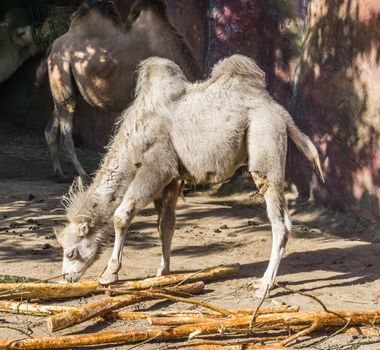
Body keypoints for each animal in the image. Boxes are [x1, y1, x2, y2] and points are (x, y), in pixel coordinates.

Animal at [39, 0, 203, 180]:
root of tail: (53, 46)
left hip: (65, 87)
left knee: (51, 127)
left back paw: (59, 173)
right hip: (61, 72)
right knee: (66, 134)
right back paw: (84, 175)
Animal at [56, 54, 324, 298]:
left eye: (71, 252)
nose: (67, 276)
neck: (134, 140)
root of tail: (281, 113)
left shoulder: (156, 167)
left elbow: (122, 215)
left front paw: (108, 274)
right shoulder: (173, 179)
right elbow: (166, 225)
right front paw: (162, 272)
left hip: (264, 139)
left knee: (279, 219)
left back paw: (264, 286)